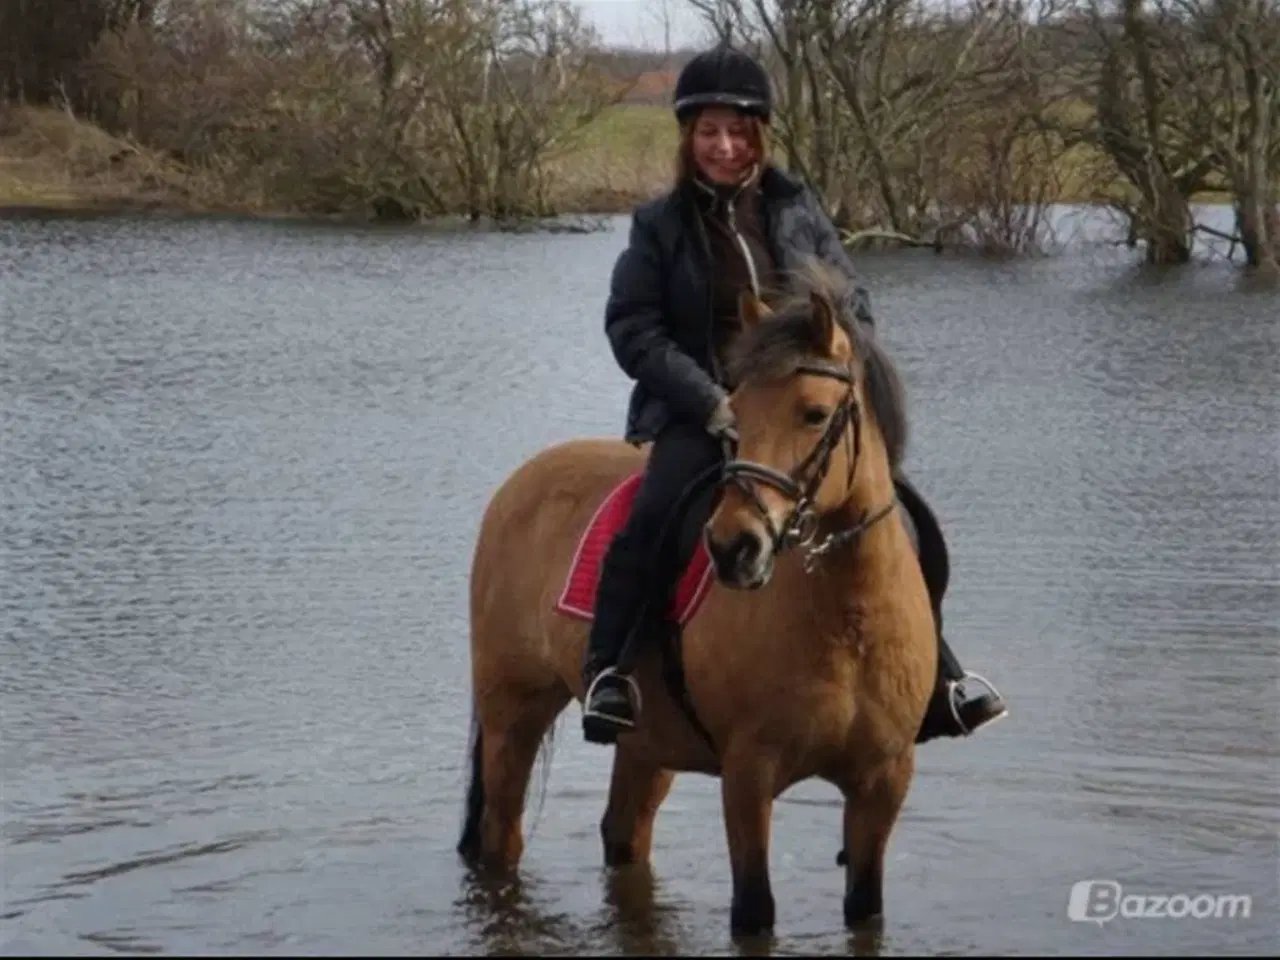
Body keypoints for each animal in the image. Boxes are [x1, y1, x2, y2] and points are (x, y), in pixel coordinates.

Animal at [456, 262, 938, 937]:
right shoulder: (748, 775)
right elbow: (754, 910)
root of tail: (521, 481)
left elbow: (865, 907)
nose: (735, 546)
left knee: (623, 833)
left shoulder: (883, 783)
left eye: (815, 414)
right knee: (504, 837)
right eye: (734, 410)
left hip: (647, 742)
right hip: (513, 712)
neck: (848, 623)